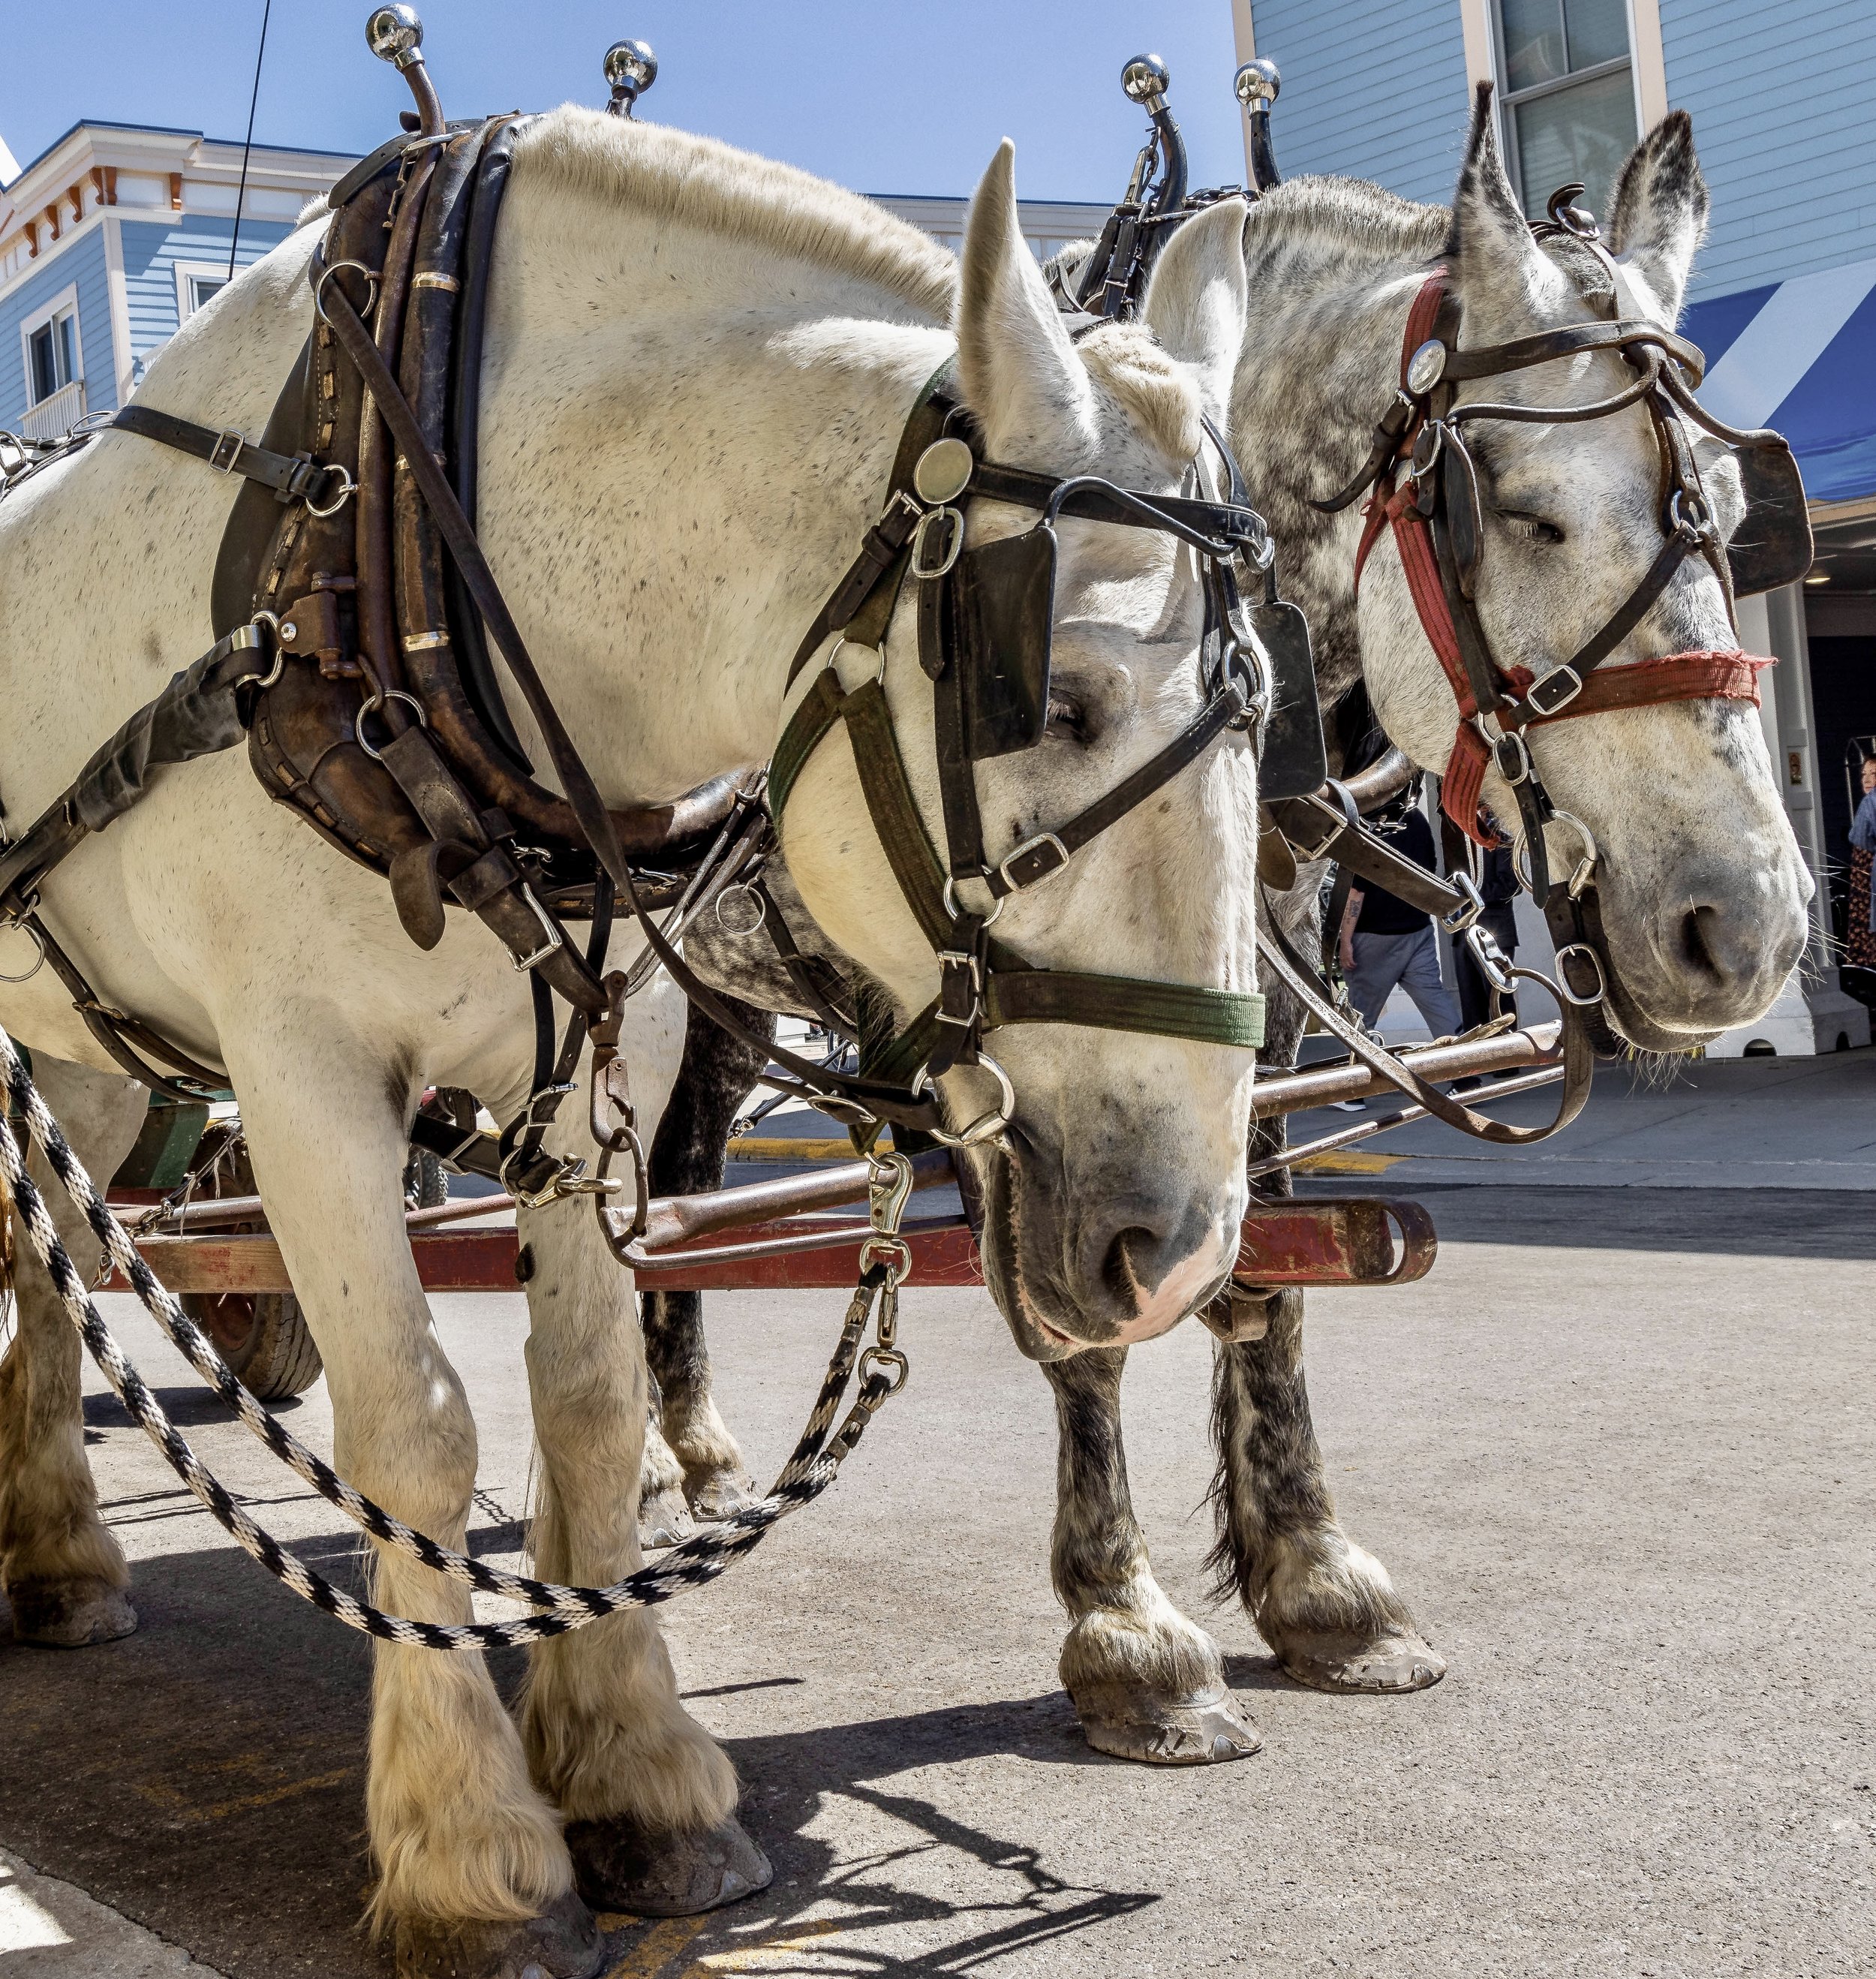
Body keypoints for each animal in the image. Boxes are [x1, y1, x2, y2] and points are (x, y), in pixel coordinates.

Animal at [0, 107, 1267, 1974]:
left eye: (1276, 712)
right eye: (1057, 700)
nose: (1175, 1247)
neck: (409, 534)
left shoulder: (609, 1046)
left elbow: (589, 1411)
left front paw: (637, 1777)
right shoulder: (300, 1070)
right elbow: (417, 1425)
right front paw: (471, 1851)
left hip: (86, 1032)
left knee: (40, 1253)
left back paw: (61, 1555)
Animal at [641, 93, 1814, 1766]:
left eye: (1732, 512)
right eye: (1526, 516)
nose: (1750, 930)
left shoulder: (1244, 996)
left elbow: (1260, 1263)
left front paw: (1316, 1574)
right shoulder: (1006, 1006)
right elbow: (1074, 1305)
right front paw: (1128, 1628)